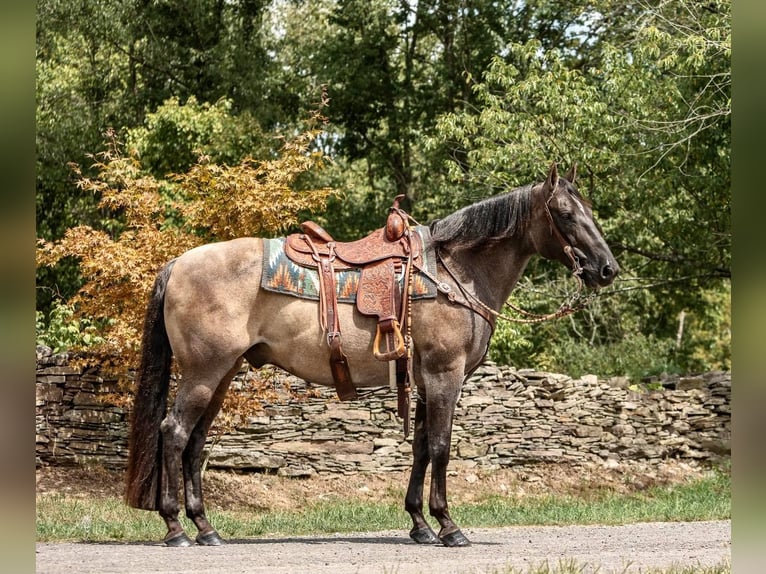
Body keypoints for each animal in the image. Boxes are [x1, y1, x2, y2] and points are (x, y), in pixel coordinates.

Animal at [124, 162, 616, 548]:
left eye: (590, 210)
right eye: (565, 213)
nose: (606, 269)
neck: (456, 272)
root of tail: (177, 264)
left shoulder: (424, 380)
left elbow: (421, 446)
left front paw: (419, 524)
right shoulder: (445, 375)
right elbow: (441, 447)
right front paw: (448, 525)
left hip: (222, 375)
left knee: (195, 441)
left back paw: (206, 528)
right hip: (203, 373)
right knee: (174, 433)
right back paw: (176, 528)